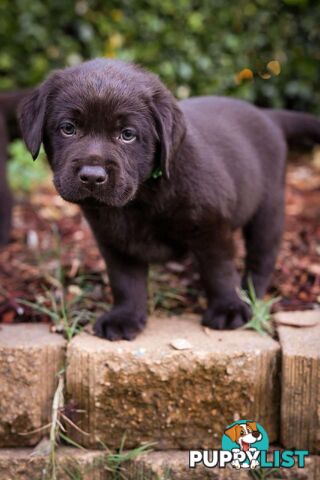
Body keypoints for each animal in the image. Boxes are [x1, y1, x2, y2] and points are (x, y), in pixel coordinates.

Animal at [18, 60, 320, 340]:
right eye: (68, 128)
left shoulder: (212, 227)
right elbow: (125, 280)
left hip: (268, 207)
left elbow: (219, 270)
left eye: (127, 135)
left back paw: (249, 294)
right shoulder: (113, 239)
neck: (141, 197)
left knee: (262, 255)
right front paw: (125, 317)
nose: (92, 177)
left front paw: (228, 307)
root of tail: (267, 115)